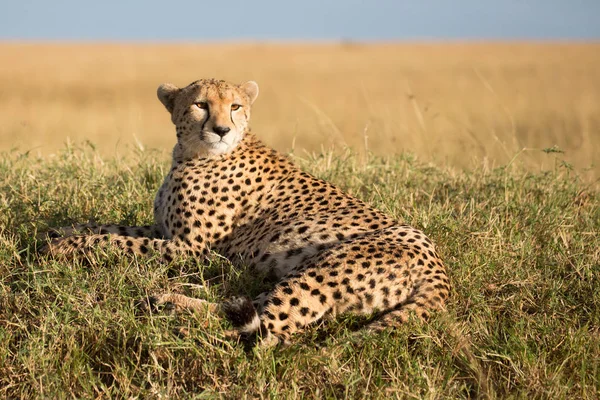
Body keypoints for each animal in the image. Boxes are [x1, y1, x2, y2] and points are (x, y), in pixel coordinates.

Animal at [44, 78, 450, 346]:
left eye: (235, 106)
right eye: (201, 105)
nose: (222, 129)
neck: (192, 152)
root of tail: (440, 266)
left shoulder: (190, 248)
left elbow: (116, 243)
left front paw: (63, 248)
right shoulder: (165, 232)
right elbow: (112, 229)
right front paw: (61, 232)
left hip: (324, 270)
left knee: (270, 329)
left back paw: (181, 320)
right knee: (252, 305)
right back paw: (168, 301)